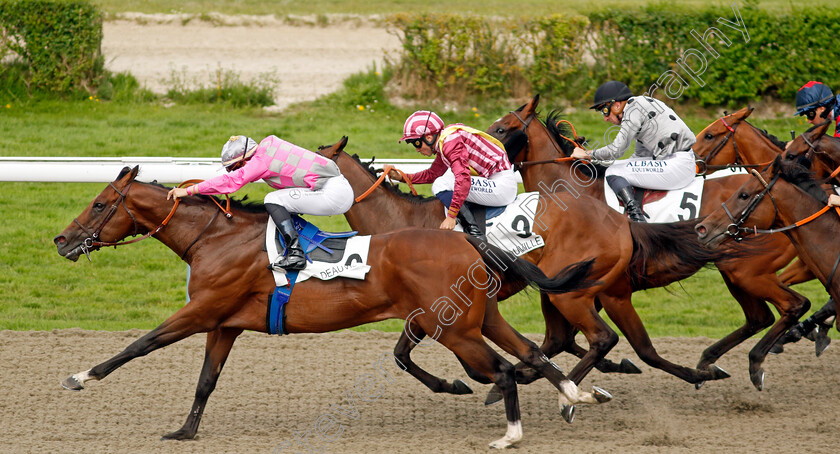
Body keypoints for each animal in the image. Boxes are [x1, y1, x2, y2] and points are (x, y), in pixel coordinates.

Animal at [50, 166, 604, 446]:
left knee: (505, 369)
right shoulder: (224, 324)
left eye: (100, 204)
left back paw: (511, 433)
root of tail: (466, 239)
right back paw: (572, 395)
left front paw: (80, 376)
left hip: (454, 330)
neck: (215, 239)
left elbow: (141, 344)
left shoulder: (202, 312)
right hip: (479, 317)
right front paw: (185, 431)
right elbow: (206, 380)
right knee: (531, 352)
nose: (61, 240)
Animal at [316, 136, 736, 408]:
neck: (403, 222)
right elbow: (403, 355)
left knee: (599, 338)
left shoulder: (436, 306)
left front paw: (477, 380)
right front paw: (458, 383)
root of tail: (620, 220)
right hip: (584, 290)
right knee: (619, 343)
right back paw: (698, 374)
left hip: (570, 292)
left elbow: (420, 355)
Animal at [488, 95, 812, 390]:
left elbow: (595, 342)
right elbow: (561, 340)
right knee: (760, 316)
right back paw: (711, 360)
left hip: (747, 271)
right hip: (734, 271)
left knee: (793, 305)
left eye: (501, 129)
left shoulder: (607, 290)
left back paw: (754, 360)